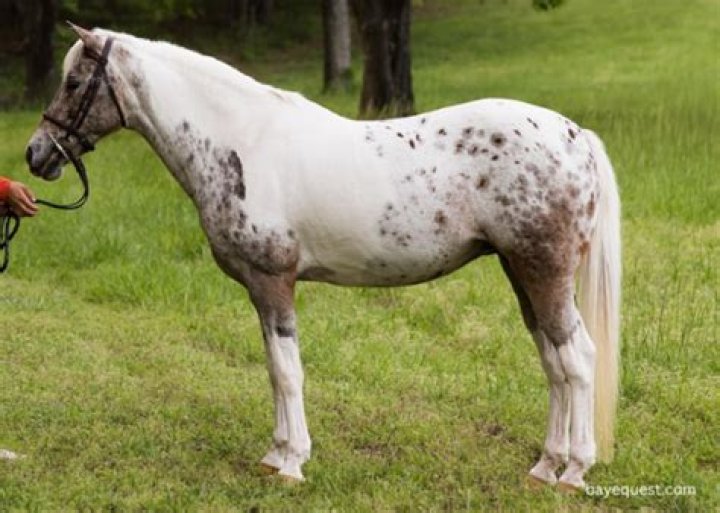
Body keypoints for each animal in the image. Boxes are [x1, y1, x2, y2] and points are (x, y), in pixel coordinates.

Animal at [25, 25, 621, 490]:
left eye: (74, 82)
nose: (36, 154)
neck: (241, 140)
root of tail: (573, 134)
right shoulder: (260, 290)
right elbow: (273, 370)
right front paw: (275, 455)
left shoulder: (273, 280)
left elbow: (289, 373)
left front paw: (292, 463)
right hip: (522, 272)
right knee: (553, 362)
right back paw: (545, 466)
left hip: (544, 270)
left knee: (579, 359)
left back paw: (573, 472)